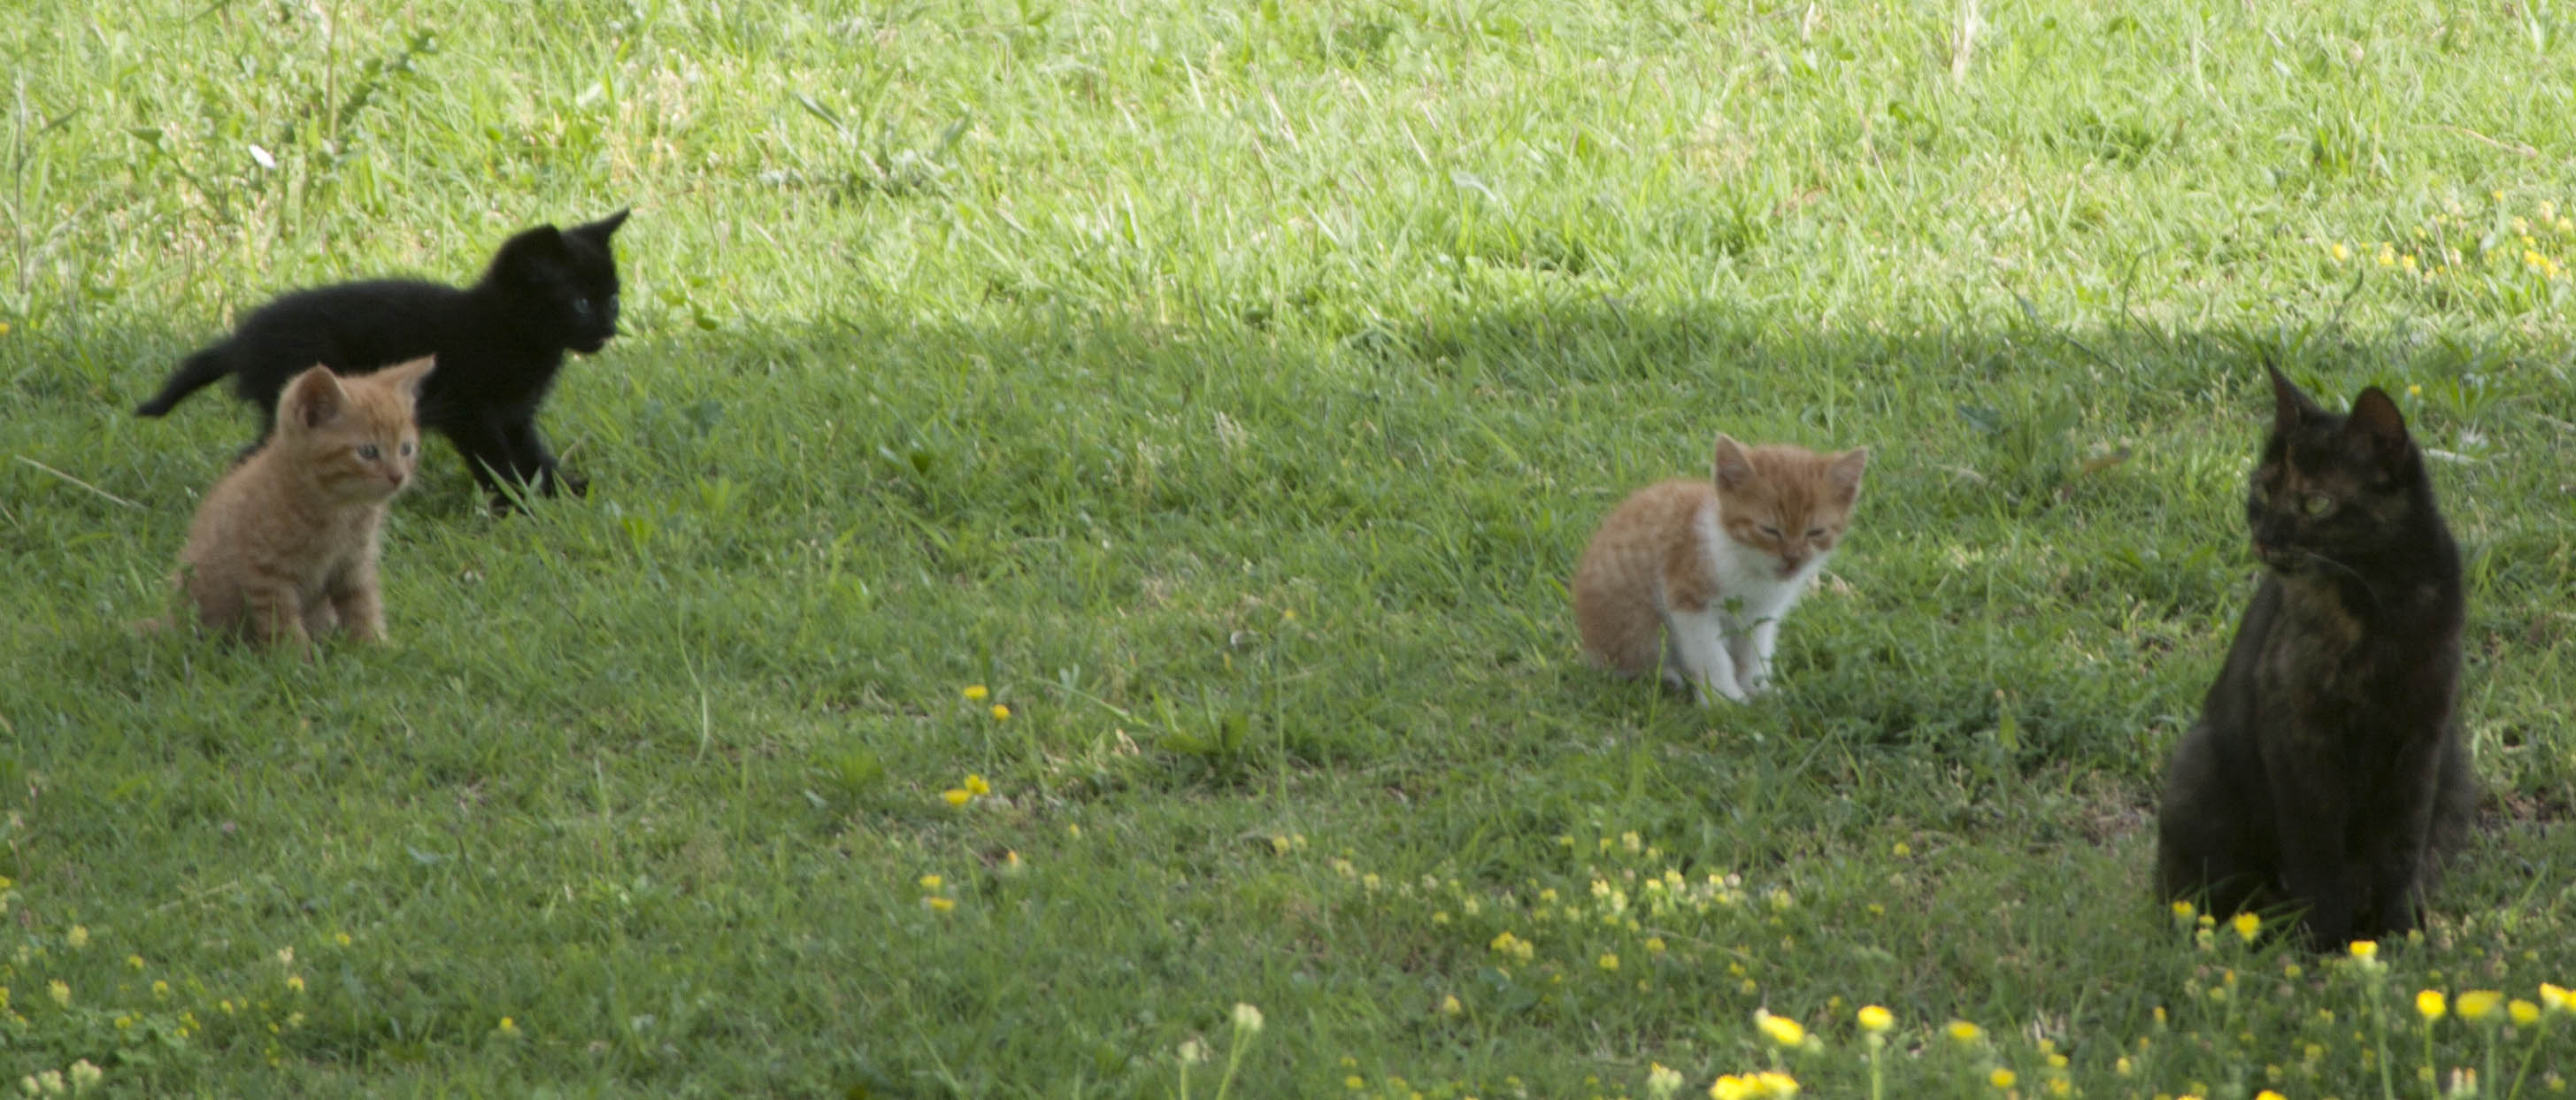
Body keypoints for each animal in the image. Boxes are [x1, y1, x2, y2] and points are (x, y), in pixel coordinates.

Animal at [137, 208, 634, 504]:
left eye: (611, 300)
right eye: (580, 304)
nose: (609, 328)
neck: (506, 330)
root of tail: (244, 339)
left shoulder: (515, 415)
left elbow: (534, 454)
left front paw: (561, 490)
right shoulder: (469, 411)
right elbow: (496, 460)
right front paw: (513, 503)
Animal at [1565, 433, 1875, 700]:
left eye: (1815, 532)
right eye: (1769, 530)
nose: (1792, 559)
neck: (1746, 563)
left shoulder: (1761, 614)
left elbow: (1755, 651)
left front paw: (1758, 689)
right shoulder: (1689, 601)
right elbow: (1711, 655)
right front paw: (1725, 699)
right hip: (1636, 628)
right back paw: (1667, 676)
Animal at [2153, 365, 2472, 953]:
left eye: (2316, 503)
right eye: (2263, 490)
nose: (2264, 537)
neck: (2377, 603)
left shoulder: (2422, 731)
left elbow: (2400, 847)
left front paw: (2400, 933)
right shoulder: (2297, 732)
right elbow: (2316, 849)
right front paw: (2325, 942)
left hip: (2457, 769)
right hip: (2198, 766)